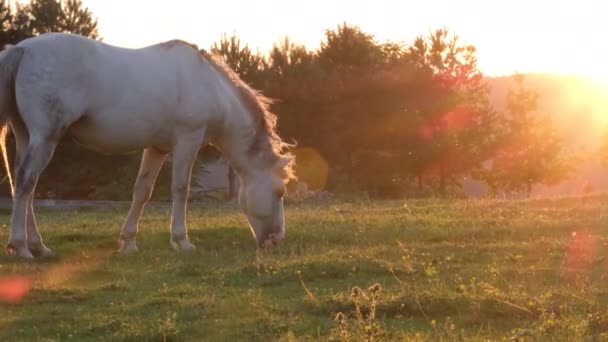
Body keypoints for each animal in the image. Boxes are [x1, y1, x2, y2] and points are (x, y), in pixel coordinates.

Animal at [0, 32, 296, 260]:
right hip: (45, 138)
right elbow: (180, 189)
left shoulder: (157, 148)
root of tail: (22, 49)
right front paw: (181, 240)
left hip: (27, 136)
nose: (277, 239)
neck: (212, 87)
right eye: (279, 192)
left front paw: (128, 242)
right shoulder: (187, 141)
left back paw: (39, 247)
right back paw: (21, 247)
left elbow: (142, 191)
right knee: (26, 183)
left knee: (24, 185)